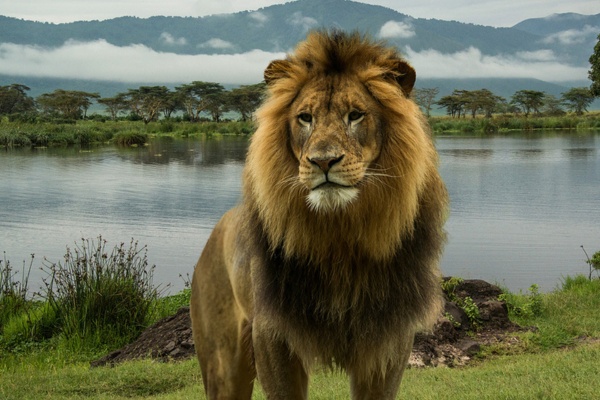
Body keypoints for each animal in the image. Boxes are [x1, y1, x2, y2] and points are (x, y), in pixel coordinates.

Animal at [190, 31, 448, 400]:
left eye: (355, 115)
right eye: (305, 117)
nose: (323, 161)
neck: (338, 235)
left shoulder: (390, 338)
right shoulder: (272, 333)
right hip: (222, 365)